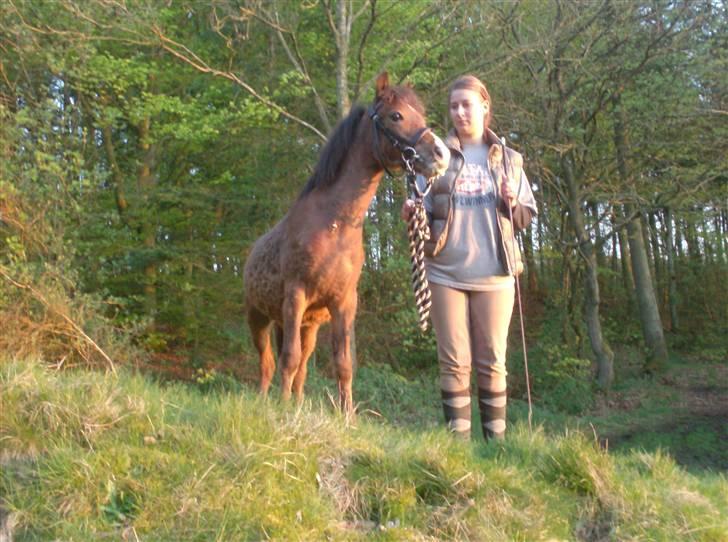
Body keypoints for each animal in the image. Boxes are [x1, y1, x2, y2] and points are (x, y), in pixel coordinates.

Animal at [243, 72, 450, 413]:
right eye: (396, 116)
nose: (441, 154)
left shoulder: (343, 303)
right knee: (268, 362)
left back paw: (297, 404)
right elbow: (288, 359)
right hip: (259, 317)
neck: (334, 225)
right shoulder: (295, 295)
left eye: (420, 113)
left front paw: (346, 415)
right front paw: (282, 410)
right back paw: (264, 402)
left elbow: (342, 364)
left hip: (308, 325)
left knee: (301, 368)